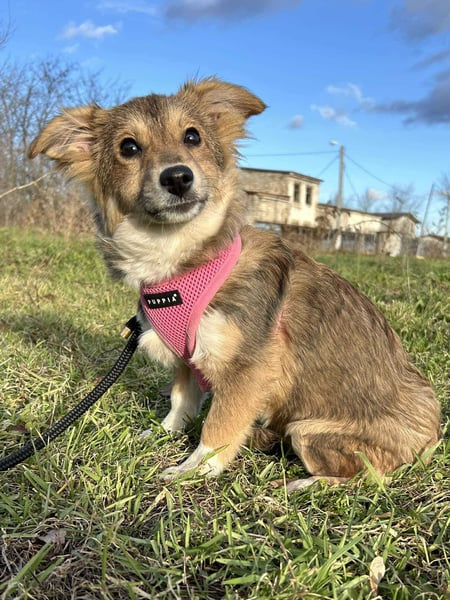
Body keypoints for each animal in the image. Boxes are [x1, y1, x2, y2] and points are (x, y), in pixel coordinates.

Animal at [29, 77, 441, 490]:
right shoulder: (185, 359)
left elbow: (218, 427)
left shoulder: (247, 372)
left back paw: (306, 483)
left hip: (310, 431)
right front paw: (163, 433)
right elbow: (181, 402)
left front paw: (193, 469)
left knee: (368, 474)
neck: (181, 259)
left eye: (192, 136)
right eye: (128, 147)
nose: (177, 177)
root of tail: (430, 438)